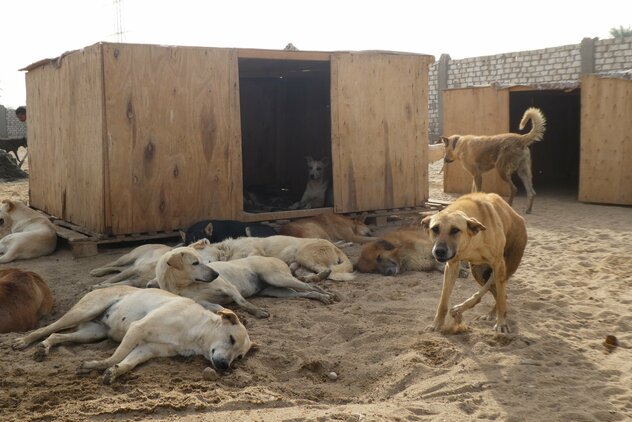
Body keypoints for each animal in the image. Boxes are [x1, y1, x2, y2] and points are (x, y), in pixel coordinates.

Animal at [422, 193, 524, 334]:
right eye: (435, 229)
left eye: (455, 230)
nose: (439, 251)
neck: (470, 241)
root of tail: (519, 218)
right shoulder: (452, 266)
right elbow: (443, 300)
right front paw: (437, 323)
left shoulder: (499, 264)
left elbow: (500, 298)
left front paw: (501, 323)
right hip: (478, 272)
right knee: (496, 292)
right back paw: (488, 313)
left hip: (506, 267)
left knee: (498, 294)